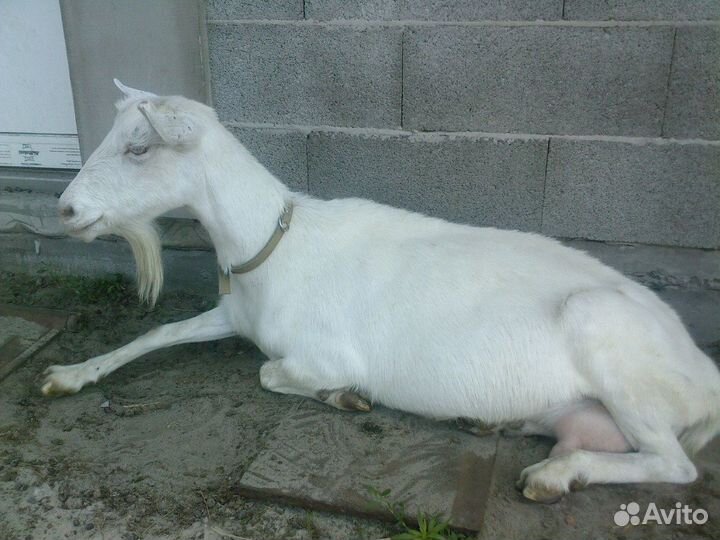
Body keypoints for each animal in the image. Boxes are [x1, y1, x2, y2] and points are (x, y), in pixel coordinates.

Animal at [43, 80, 720, 503]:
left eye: (138, 148)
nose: (66, 209)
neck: (277, 245)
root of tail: (705, 376)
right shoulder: (235, 315)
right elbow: (160, 331)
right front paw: (68, 375)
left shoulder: (322, 352)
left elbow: (269, 373)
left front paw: (347, 396)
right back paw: (519, 445)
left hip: (605, 334)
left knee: (674, 464)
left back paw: (554, 475)